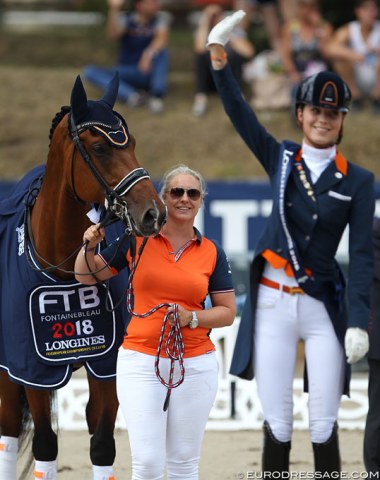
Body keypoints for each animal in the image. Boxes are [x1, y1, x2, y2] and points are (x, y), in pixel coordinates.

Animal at [0, 72, 168, 480]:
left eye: (132, 143)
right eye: (101, 148)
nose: (153, 213)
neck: (62, 265)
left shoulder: (106, 366)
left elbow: (103, 444)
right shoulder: (33, 368)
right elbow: (45, 443)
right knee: (8, 430)